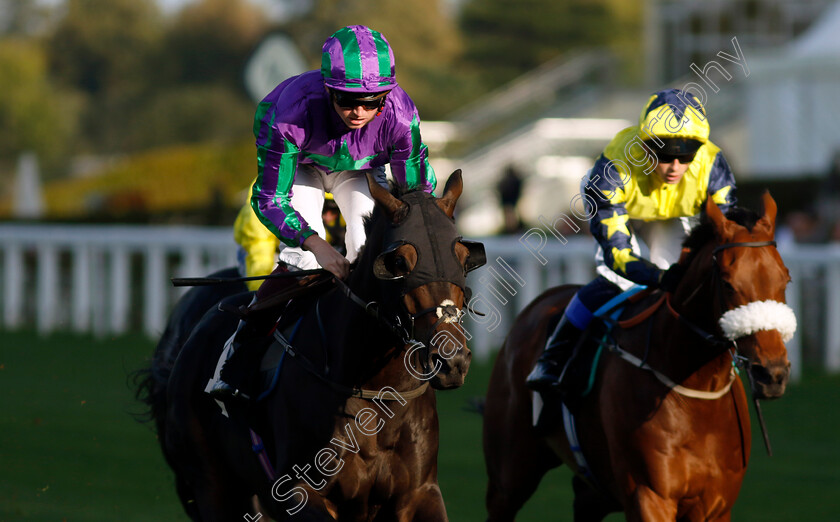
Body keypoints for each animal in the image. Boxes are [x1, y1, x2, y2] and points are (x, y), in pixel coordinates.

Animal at [139, 170, 486, 516]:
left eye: (463, 257)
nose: (452, 360)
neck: (376, 390)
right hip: (210, 485)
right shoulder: (297, 491)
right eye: (399, 262)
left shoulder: (420, 492)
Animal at [486, 193, 796, 516]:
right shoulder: (649, 495)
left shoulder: (716, 505)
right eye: (727, 282)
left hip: (595, 489)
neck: (694, 389)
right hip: (510, 475)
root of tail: (540, 302)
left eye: (785, 279)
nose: (772, 373)